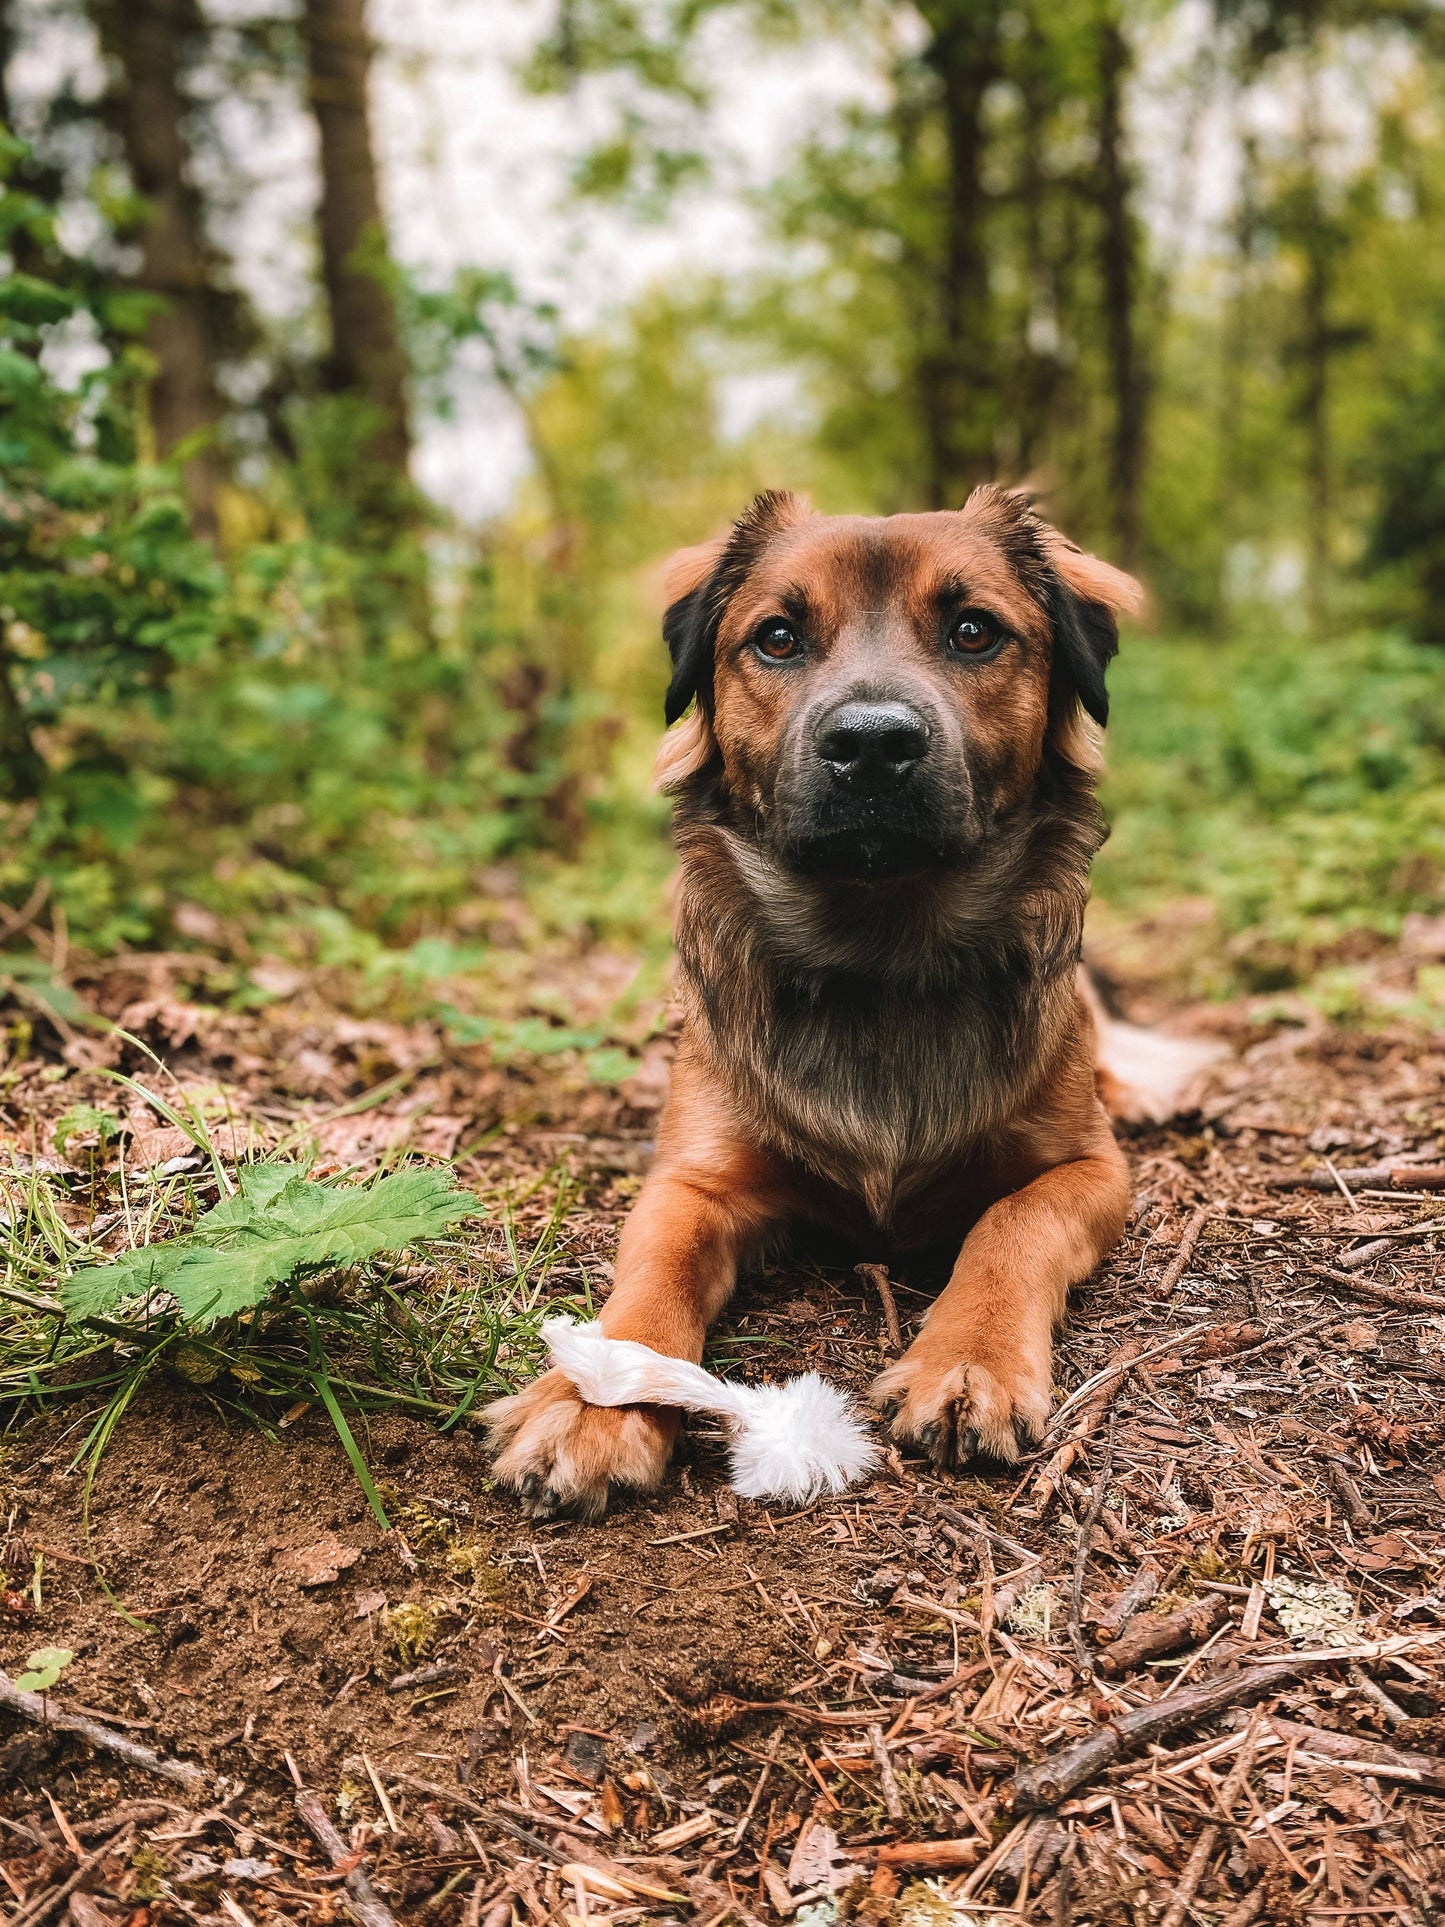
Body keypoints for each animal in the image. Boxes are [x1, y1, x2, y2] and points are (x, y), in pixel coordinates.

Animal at [493, 481, 1148, 1518]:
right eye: (776, 637)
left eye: (973, 629)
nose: (872, 745)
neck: (877, 955)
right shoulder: (693, 1178)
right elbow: (652, 1270)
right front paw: (593, 1399)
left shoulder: (1090, 1169)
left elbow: (1010, 1223)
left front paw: (967, 1363)